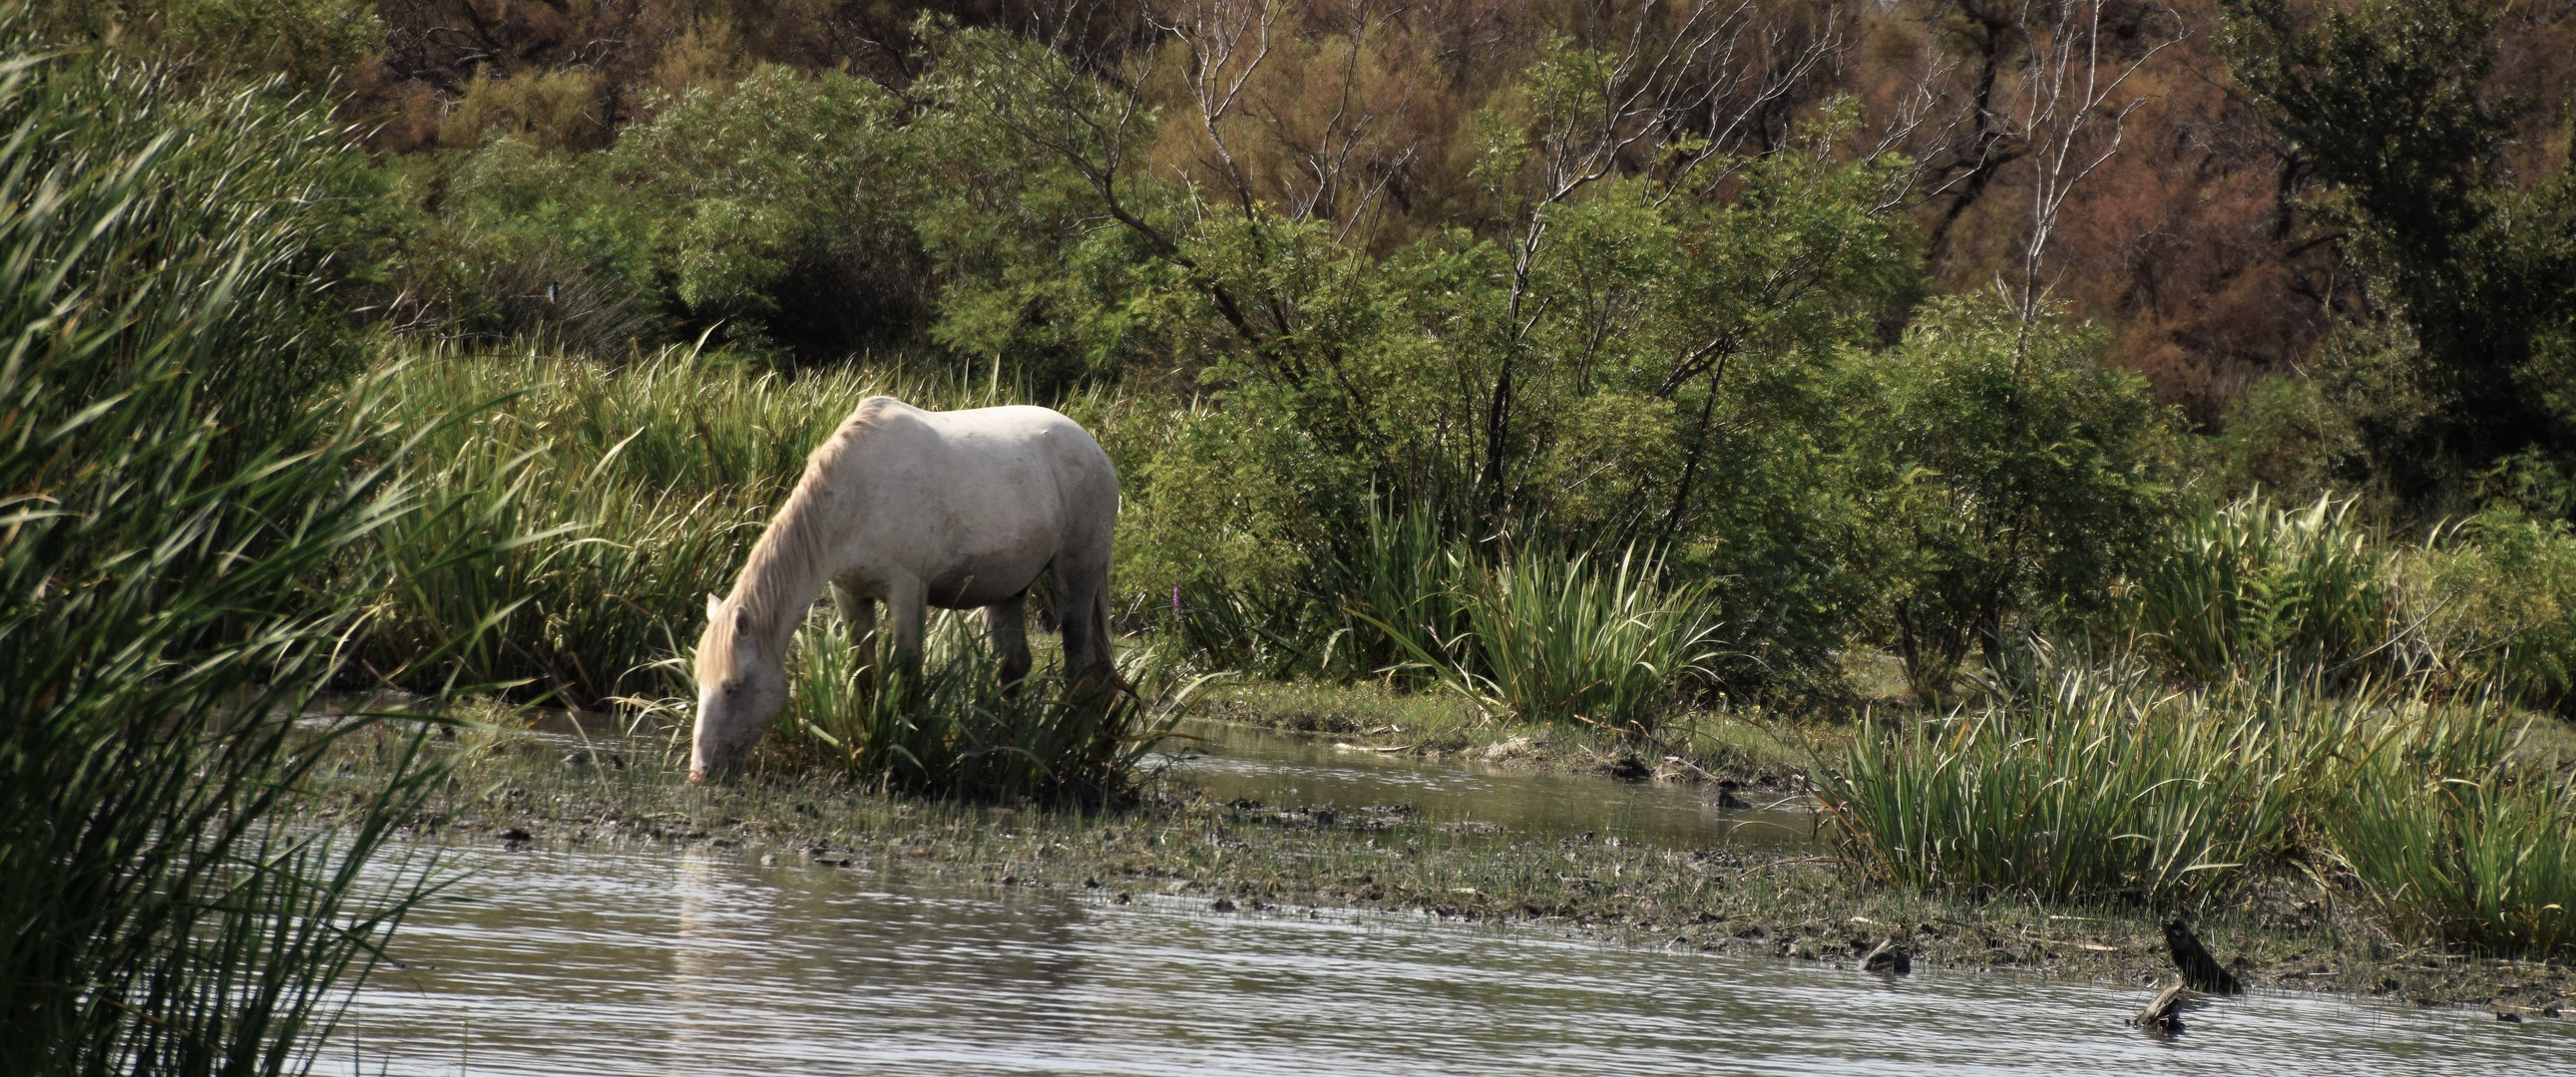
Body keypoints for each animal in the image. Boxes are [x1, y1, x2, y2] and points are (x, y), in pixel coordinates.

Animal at [689, 394, 1122, 783]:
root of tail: (1093, 448)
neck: (857, 493)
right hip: (1008, 591)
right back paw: (998, 753)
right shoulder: (850, 593)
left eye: (731, 687)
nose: (700, 773)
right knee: (1013, 668)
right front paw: (864, 747)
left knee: (1078, 666)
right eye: (700, 683)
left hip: (1076, 576)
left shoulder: (907, 591)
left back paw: (1065, 752)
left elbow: (907, 672)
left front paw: (903, 757)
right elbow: (864, 671)